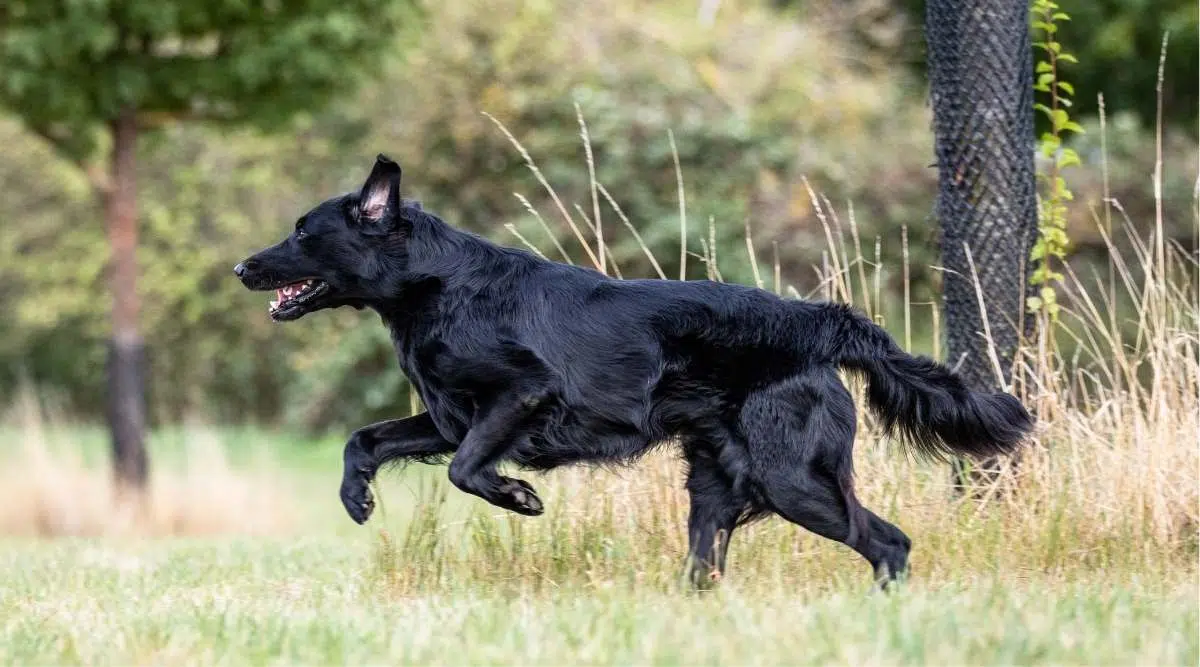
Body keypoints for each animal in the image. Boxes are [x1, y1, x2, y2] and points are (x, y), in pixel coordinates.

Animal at [234, 153, 1032, 585]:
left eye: (302, 233)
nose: (242, 267)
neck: (438, 286)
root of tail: (821, 324)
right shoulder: (449, 414)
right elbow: (364, 440)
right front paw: (355, 498)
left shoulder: (520, 393)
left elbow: (465, 470)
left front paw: (518, 497)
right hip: (715, 486)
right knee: (709, 567)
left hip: (794, 479)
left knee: (889, 543)